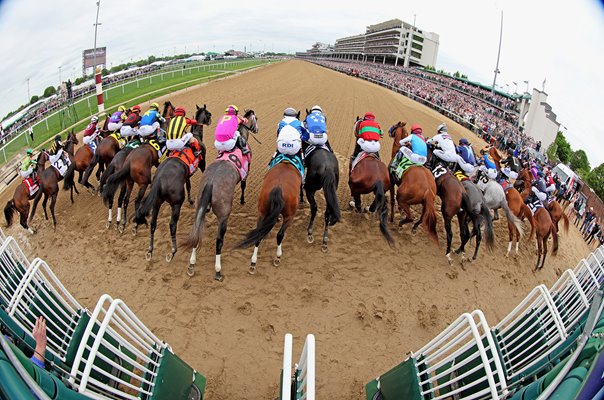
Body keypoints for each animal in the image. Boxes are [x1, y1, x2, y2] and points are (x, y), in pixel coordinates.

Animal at [186, 109, 258, 282]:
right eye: (256, 119)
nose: (257, 129)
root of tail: (210, 183)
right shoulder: (246, 172)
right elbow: (244, 185)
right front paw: (243, 200)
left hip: (199, 206)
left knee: (197, 232)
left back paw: (192, 264)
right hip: (224, 213)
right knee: (219, 240)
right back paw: (218, 271)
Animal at [302, 109, 340, 253]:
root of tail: (328, 168)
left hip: (310, 188)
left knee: (314, 207)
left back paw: (310, 232)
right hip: (331, 188)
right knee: (328, 212)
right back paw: (324, 240)